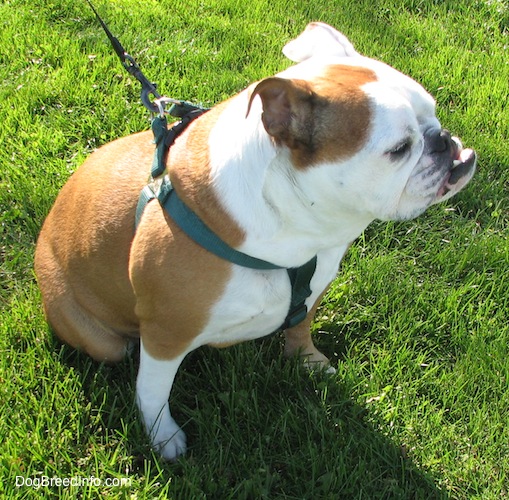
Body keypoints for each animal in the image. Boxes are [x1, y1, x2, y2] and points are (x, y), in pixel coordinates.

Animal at [35, 23, 476, 460]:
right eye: (399, 150)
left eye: (433, 113)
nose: (444, 139)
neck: (298, 221)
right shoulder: (166, 332)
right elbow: (153, 390)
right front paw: (163, 436)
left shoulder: (315, 286)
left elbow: (301, 327)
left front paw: (308, 360)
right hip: (100, 336)